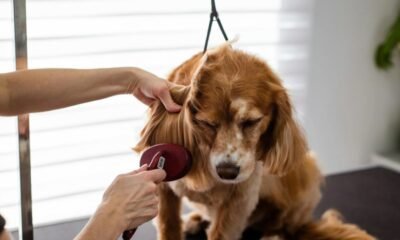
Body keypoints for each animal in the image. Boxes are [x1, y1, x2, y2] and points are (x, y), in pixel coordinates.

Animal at [134, 45, 376, 240]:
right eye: (207, 123)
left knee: (287, 226)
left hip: (308, 173)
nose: (228, 172)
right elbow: (168, 226)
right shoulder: (163, 187)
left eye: (252, 122)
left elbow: (222, 232)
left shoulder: (239, 200)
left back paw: (273, 236)